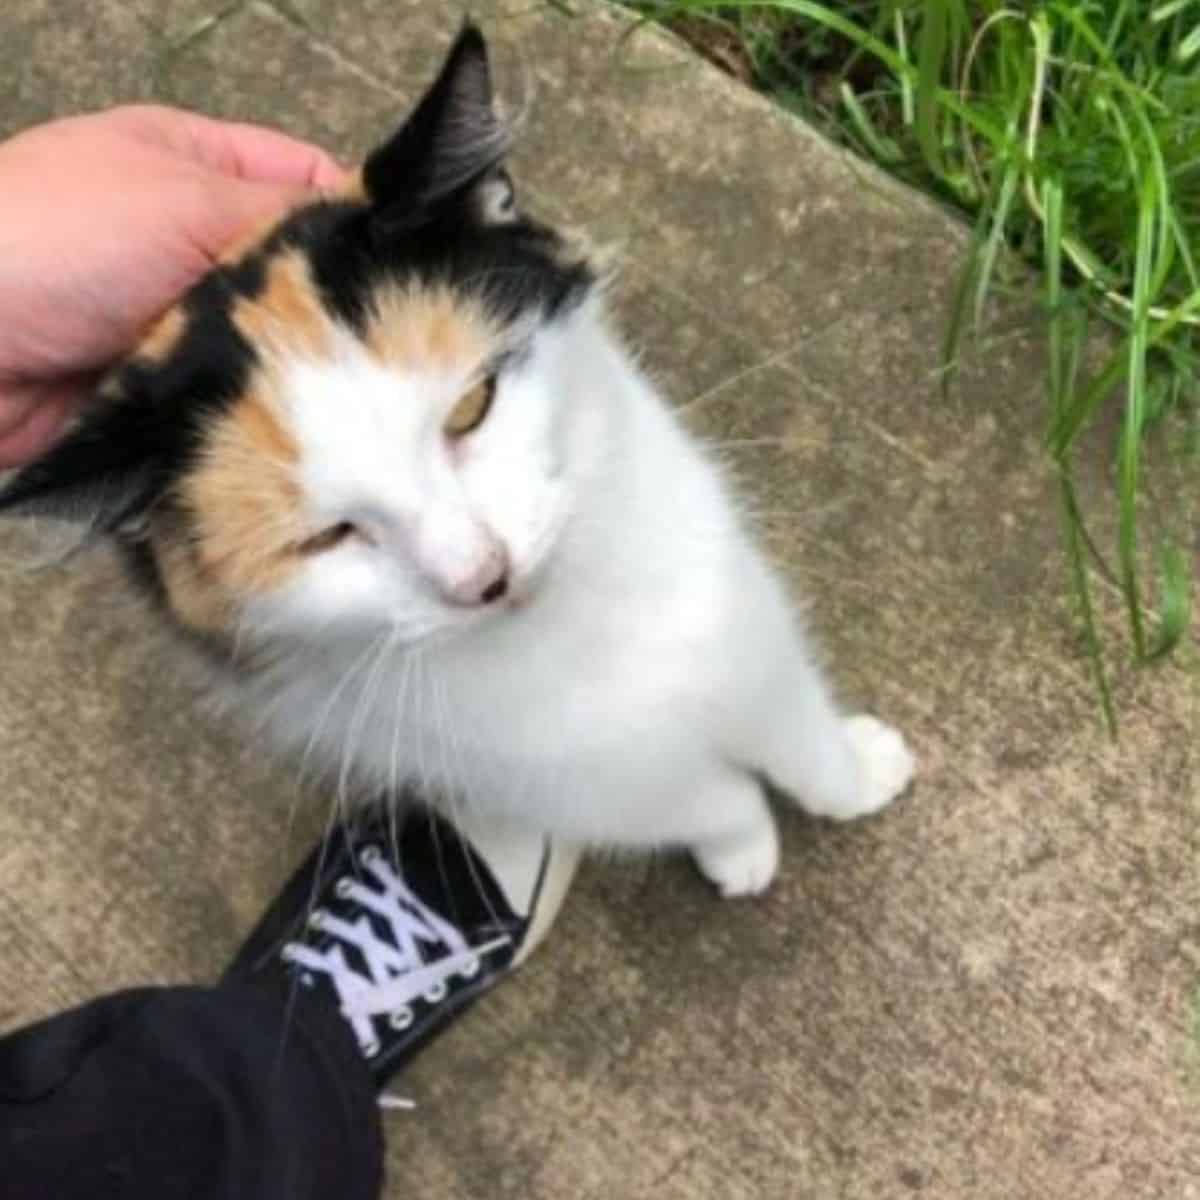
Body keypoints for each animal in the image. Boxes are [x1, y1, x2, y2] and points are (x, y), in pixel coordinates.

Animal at [0, 23, 912, 897]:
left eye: (472, 406)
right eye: (323, 539)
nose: (486, 578)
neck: (572, 634)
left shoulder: (734, 614)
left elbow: (793, 729)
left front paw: (860, 775)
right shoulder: (565, 781)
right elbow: (702, 797)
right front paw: (743, 846)